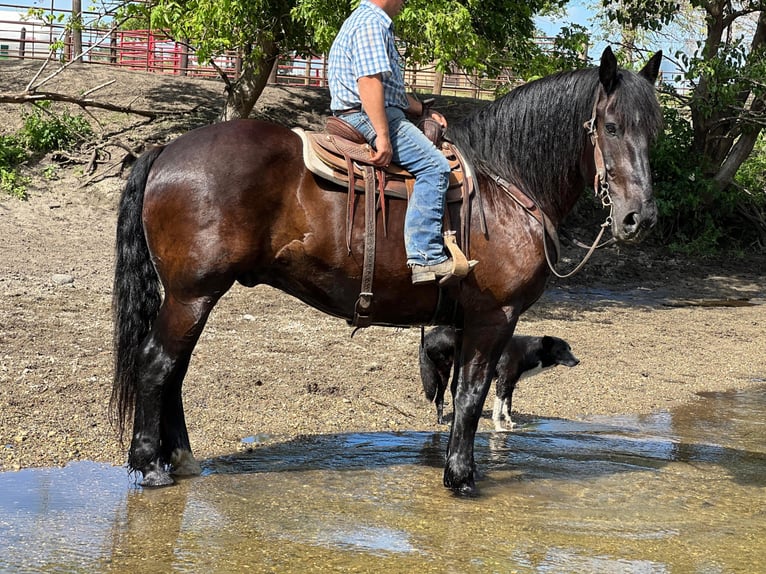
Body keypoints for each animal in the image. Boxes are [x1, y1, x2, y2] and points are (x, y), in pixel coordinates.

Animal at [420, 326, 584, 430]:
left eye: (569, 349)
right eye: (561, 350)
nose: (577, 361)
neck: (527, 351)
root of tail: (428, 337)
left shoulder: (510, 384)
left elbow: (507, 406)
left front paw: (510, 423)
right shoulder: (502, 383)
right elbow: (498, 410)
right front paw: (499, 427)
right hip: (443, 369)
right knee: (439, 397)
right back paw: (442, 422)